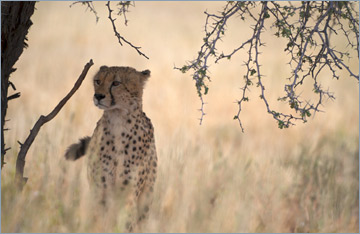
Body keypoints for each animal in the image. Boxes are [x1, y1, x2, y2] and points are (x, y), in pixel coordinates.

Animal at [64, 66, 158, 232]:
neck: (118, 120)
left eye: (116, 83)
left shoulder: (128, 192)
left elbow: (126, 220)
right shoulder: (100, 190)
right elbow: (99, 219)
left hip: (146, 196)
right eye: (98, 81)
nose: (98, 96)